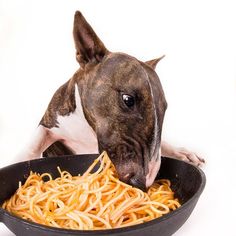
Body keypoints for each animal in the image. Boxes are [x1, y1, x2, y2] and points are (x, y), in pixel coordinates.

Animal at [17, 12, 204, 191]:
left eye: (164, 108)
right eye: (128, 99)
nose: (143, 183)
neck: (89, 130)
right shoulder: (50, 122)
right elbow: (33, 145)